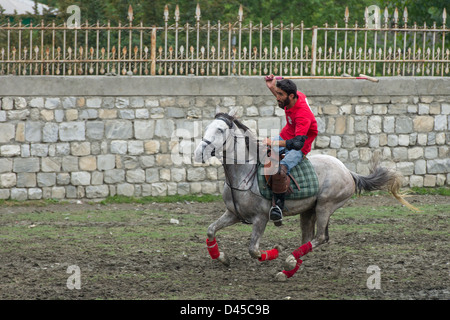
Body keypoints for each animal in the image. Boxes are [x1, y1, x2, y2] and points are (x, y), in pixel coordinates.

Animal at [192, 109, 416, 282]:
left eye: (220, 130)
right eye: (207, 127)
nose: (198, 153)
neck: (243, 173)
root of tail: (348, 171)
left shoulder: (260, 218)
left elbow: (253, 250)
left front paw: (275, 251)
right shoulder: (233, 214)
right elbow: (210, 230)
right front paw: (222, 257)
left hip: (325, 206)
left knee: (321, 237)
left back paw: (289, 261)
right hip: (308, 211)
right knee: (307, 239)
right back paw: (287, 271)